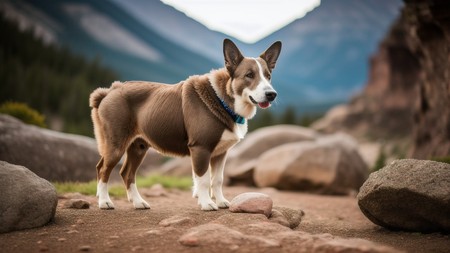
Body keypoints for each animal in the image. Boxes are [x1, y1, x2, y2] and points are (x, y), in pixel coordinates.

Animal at [89, 37, 282, 211]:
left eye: (268, 77)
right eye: (249, 75)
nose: (272, 94)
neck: (224, 100)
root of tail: (110, 91)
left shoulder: (221, 153)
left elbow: (217, 180)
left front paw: (220, 201)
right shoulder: (201, 148)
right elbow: (203, 180)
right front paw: (206, 203)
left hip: (138, 147)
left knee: (126, 173)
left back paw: (138, 202)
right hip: (116, 144)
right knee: (103, 169)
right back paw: (104, 202)